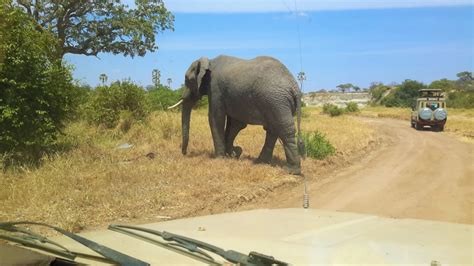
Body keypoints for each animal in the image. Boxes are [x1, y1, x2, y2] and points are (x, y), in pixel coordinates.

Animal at [168, 54, 306, 175]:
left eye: (188, 80)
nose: (184, 153)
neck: (209, 60)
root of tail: (294, 86)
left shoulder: (215, 88)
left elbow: (216, 118)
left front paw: (221, 158)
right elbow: (235, 123)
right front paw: (234, 153)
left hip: (276, 100)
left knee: (283, 129)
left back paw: (291, 171)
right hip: (277, 102)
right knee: (273, 129)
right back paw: (261, 162)